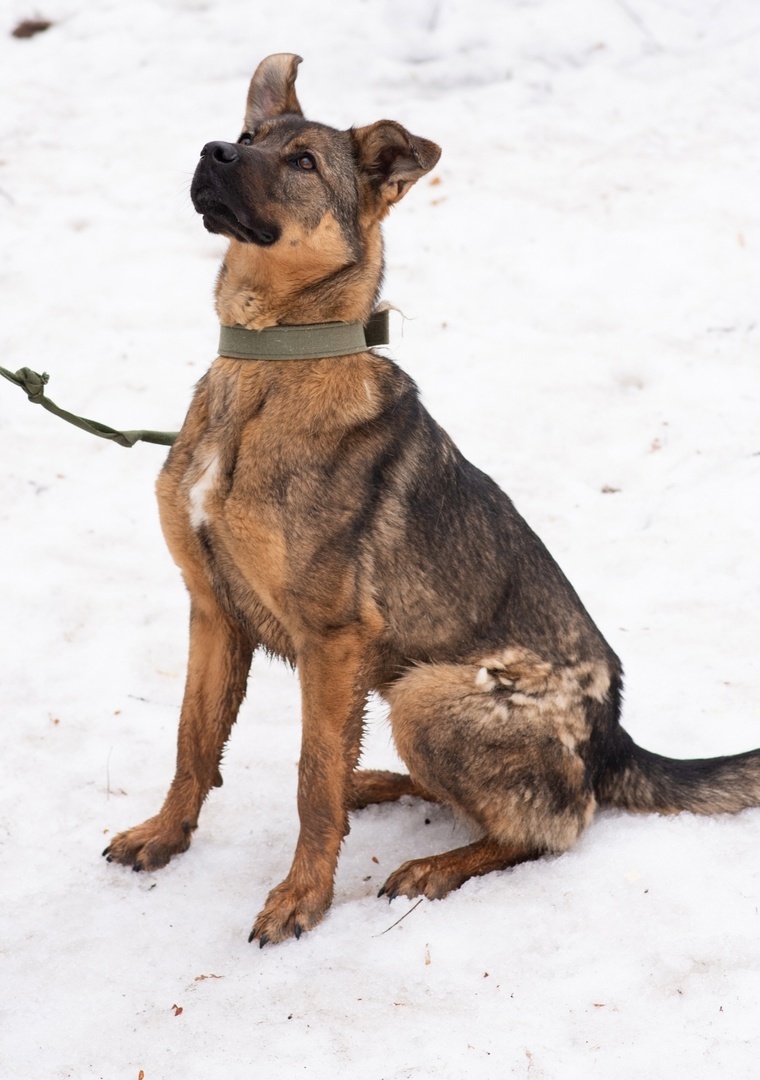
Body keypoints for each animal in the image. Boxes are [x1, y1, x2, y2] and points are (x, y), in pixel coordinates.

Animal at [102, 54, 760, 941]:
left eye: (303, 162)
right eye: (247, 135)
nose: (213, 152)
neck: (272, 362)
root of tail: (613, 741)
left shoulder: (332, 639)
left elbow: (310, 779)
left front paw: (301, 898)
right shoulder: (212, 611)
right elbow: (193, 742)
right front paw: (165, 836)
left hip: (426, 695)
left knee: (548, 825)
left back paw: (435, 866)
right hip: (395, 687)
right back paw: (375, 787)